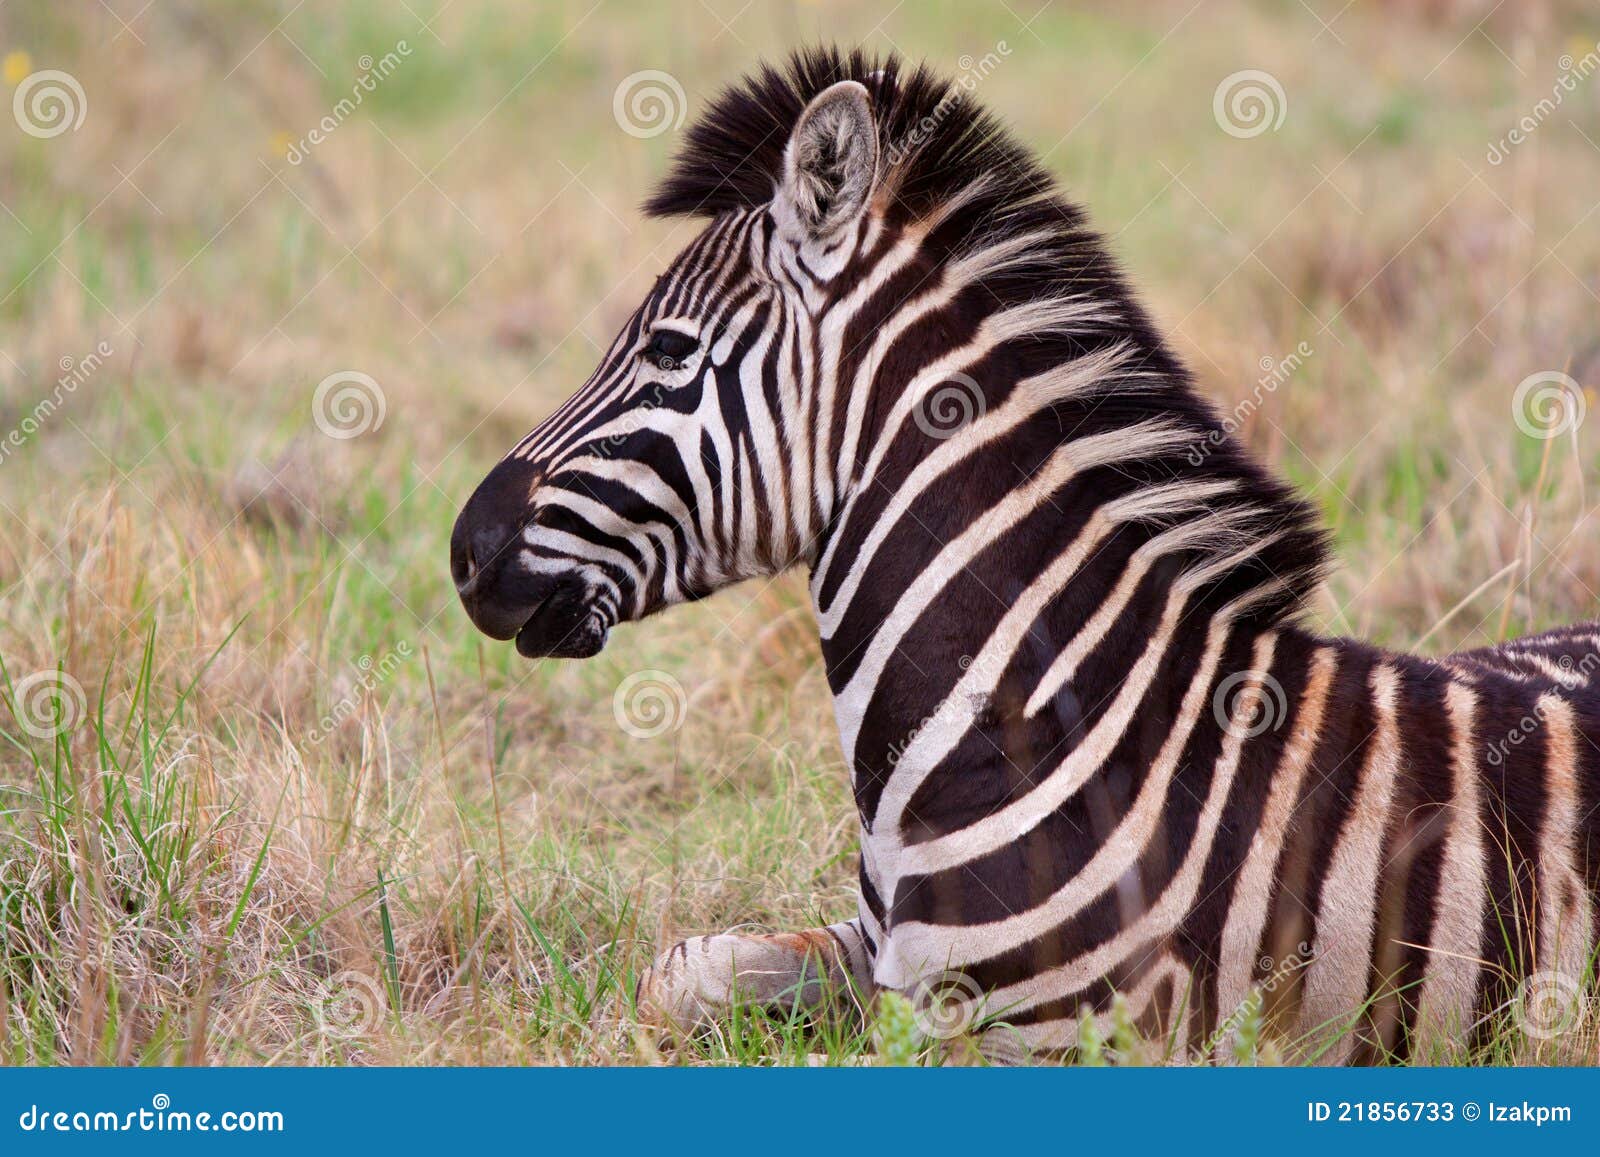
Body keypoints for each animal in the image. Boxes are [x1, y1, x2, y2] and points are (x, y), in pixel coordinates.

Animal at [451, 54, 1600, 1068]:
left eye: (671, 351)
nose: (466, 550)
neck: (1058, 726)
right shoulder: (878, 955)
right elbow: (677, 971)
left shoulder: (1073, 1040)